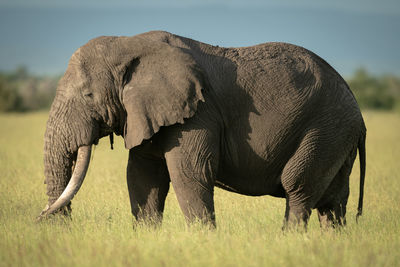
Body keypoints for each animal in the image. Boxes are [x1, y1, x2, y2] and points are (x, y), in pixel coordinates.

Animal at [36, 30, 366, 229]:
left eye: (88, 95)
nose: (40, 218)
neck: (129, 43)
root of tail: (359, 113)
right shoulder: (147, 114)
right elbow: (143, 178)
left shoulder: (199, 114)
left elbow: (190, 174)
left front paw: (202, 239)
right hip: (337, 136)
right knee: (333, 201)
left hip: (324, 129)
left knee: (298, 187)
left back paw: (290, 240)